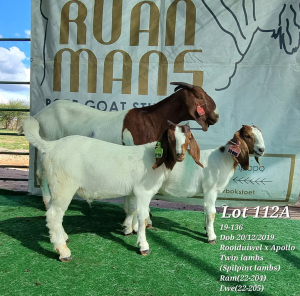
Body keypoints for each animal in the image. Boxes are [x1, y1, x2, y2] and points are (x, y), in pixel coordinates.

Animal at [22, 116, 202, 262]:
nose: (180, 155)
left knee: (51, 212)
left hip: (54, 185)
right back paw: (63, 252)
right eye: (170, 137)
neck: (154, 157)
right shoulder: (143, 192)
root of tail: (49, 146)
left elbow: (132, 210)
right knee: (54, 215)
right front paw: (144, 246)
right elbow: (143, 217)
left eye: (189, 137)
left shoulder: (134, 192)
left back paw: (63, 237)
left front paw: (128, 229)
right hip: (64, 186)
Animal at [123, 125, 264, 243]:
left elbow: (207, 211)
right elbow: (211, 211)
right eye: (248, 135)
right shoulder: (211, 189)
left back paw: (131, 227)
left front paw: (206, 230)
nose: (262, 149)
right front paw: (211, 237)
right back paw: (133, 228)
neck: (223, 159)